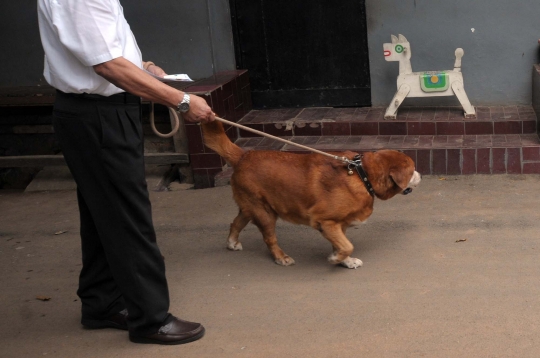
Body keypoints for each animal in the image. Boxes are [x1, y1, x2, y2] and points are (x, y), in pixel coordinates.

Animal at [200, 121, 420, 268]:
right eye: (412, 170)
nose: (420, 175)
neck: (361, 173)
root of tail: (243, 155)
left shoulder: (339, 225)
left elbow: (342, 244)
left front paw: (344, 261)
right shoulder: (326, 221)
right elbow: (347, 246)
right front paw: (336, 259)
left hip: (252, 207)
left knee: (236, 222)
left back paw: (231, 242)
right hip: (265, 214)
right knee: (269, 239)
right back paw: (280, 257)